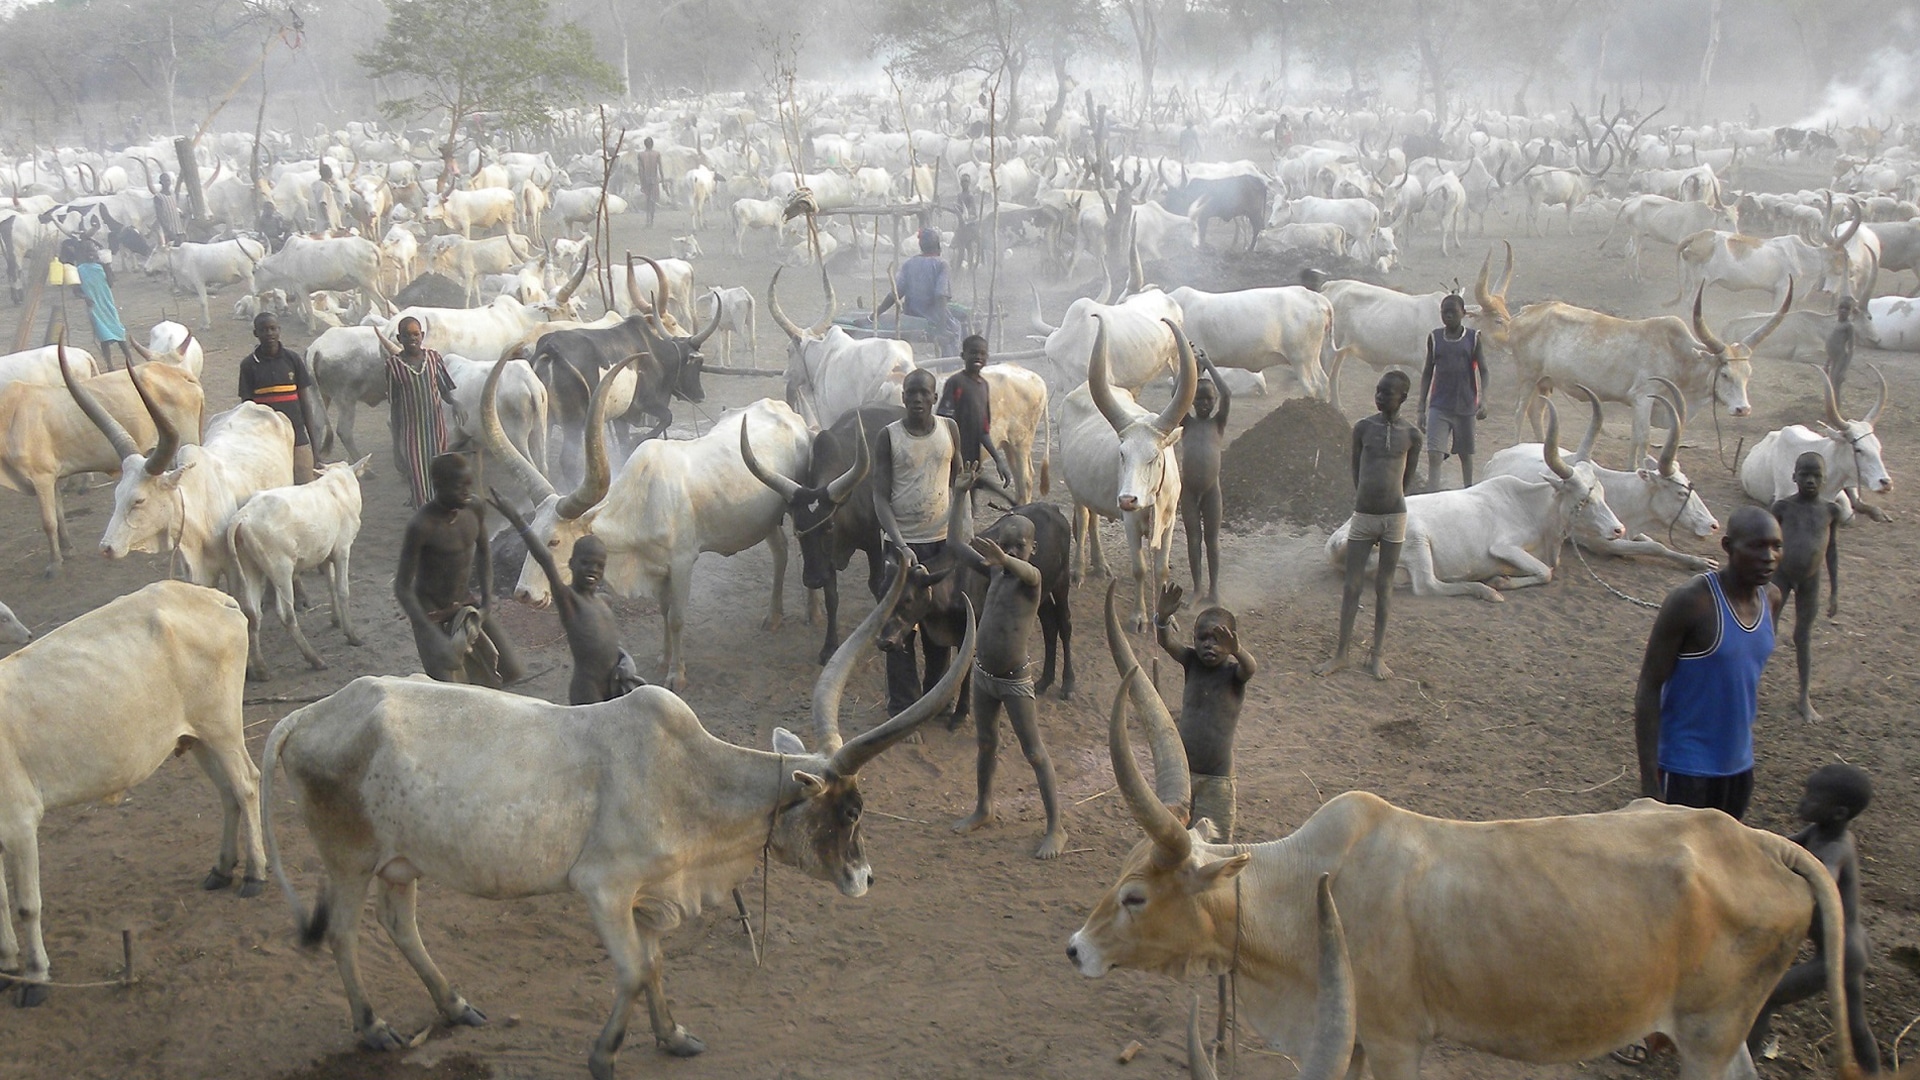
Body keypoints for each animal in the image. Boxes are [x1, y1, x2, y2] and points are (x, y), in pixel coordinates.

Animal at [0, 580, 263, 1006]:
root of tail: (215, 597)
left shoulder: (19, 821)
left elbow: (26, 906)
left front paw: (35, 977)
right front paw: (7, 967)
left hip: (221, 725)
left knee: (246, 785)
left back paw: (256, 874)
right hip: (197, 737)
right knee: (228, 794)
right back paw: (222, 869)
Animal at [255, 568, 967, 1068]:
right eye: (849, 809)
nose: (865, 878)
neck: (693, 780)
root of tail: (310, 713)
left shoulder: (649, 899)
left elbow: (653, 966)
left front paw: (672, 1034)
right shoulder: (604, 889)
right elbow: (631, 971)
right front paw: (604, 1054)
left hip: (400, 863)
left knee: (398, 924)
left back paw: (454, 1006)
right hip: (348, 858)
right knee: (344, 931)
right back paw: (373, 1026)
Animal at [1059, 315, 1190, 626]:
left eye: (1154, 457)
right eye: (1122, 454)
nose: (1127, 499)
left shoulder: (1169, 520)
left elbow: (1161, 569)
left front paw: (1166, 617)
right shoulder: (1130, 523)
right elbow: (1140, 568)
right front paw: (1139, 617)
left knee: (1093, 521)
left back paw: (1100, 565)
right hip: (1076, 491)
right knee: (1084, 521)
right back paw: (1079, 571)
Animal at [1067, 588, 1858, 1080]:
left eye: (1136, 897)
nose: (1076, 949)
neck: (1310, 887)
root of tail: (1757, 842)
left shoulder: (1396, 1044)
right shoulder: (1354, 1039)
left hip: (1706, 1038)